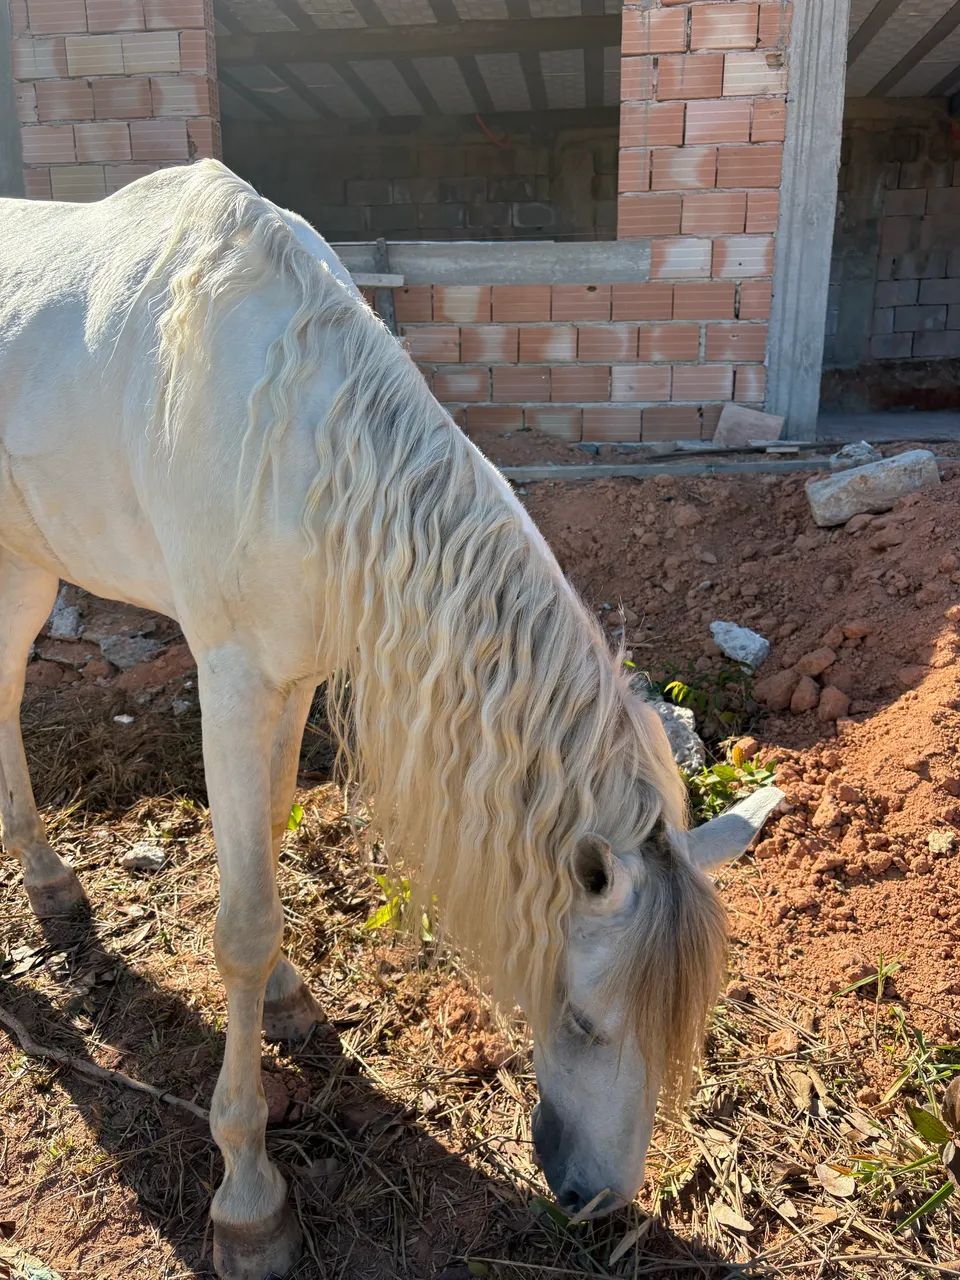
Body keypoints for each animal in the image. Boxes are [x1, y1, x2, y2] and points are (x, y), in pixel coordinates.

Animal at [0, 160, 781, 1280]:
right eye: (583, 1019)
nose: (596, 1200)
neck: (299, 445)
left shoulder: (288, 678)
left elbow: (269, 853)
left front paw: (288, 997)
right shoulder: (232, 679)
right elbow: (239, 922)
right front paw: (248, 1194)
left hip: (28, 557)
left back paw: (54, 888)